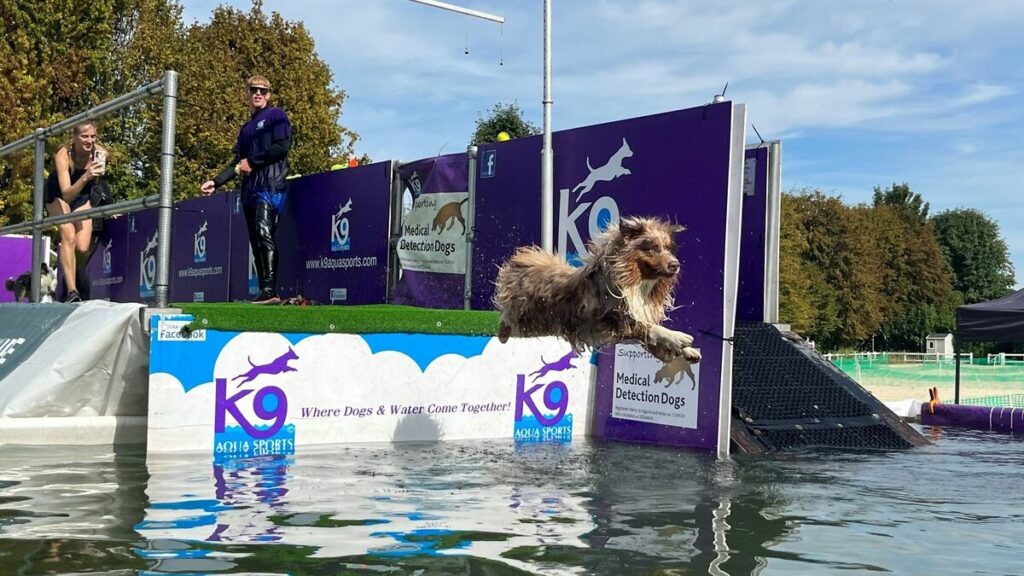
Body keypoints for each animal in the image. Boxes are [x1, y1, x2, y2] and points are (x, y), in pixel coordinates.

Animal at [491, 215, 700, 362]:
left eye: (668, 248)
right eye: (652, 248)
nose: (675, 264)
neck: (636, 281)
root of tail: (521, 260)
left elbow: (653, 333)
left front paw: (688, 351)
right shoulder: (612, 321)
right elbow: (649, 328)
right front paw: (678, 337)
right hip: (524, 324)